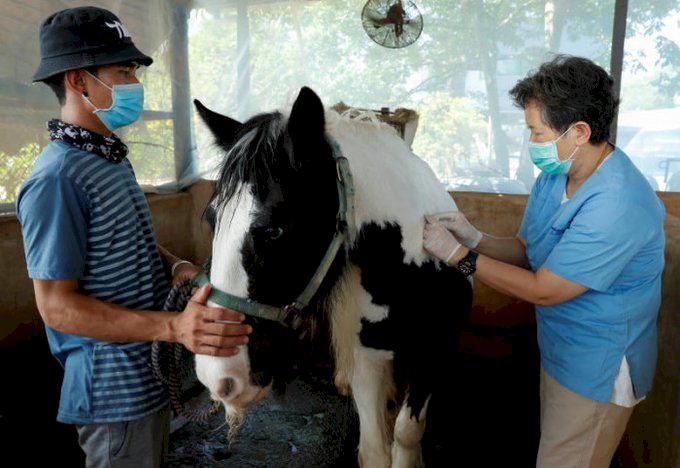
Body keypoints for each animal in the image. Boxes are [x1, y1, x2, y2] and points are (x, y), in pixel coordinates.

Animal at [192, 86, 473, 467]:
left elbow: (407, 434)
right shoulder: (368, 358)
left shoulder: (435, 350)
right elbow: (375, 448)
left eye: (274, 230)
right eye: (212, 220)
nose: (220, 378)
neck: (410, 272)